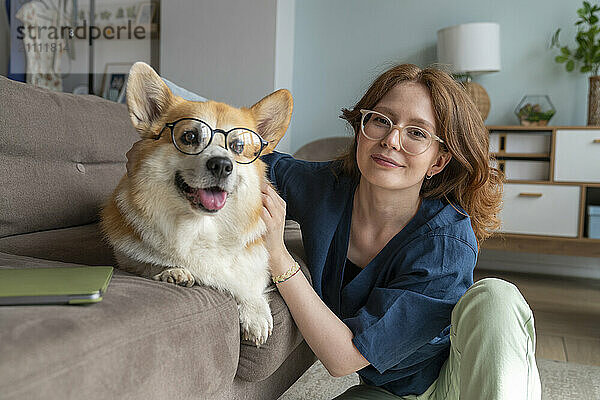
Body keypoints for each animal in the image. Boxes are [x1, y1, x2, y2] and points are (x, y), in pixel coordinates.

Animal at [101, 61, 292, 346]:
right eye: (189, 137)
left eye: (238, 146)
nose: (222, 165)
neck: (200, 226)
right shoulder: (129, 259)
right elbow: (148, 263)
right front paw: (173, 272)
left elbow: (248, 280)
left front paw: (255, 313)